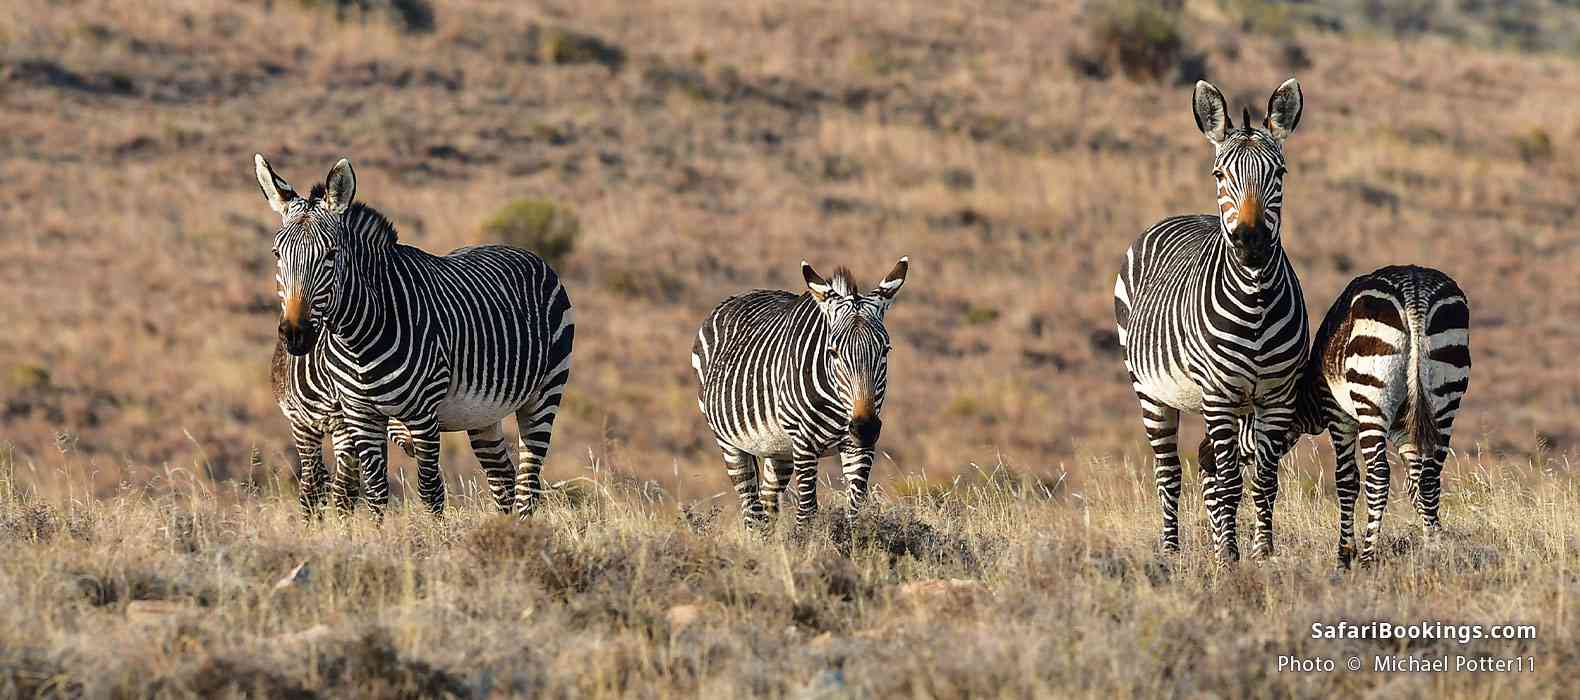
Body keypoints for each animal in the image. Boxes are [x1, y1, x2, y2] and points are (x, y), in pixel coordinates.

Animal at [271, 333, 415, 521]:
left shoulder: (346, 426)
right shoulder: (302, 425)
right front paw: (311, 528)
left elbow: (345, 488)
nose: (413, 444)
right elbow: (311, 487)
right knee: (318, 479)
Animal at [692, 258, 909, 529]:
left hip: (778, 448)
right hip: (729, 441)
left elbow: (854, 514)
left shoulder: (859, 447)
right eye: (833, 352)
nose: (865, 428)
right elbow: (807, 515)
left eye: (885, 350)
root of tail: (740, 295)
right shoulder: (805, 443)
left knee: (767, 502)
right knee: (751, 510)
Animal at [1113, 78, 1307, 561]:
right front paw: (1230, 558)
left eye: (1280, 174)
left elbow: (1264, 482)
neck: (1255, 302)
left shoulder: (1277, 396)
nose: (1251, 242)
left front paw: (1262, 553)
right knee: (1169, 472)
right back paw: (1171, 550)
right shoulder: (1218, 395)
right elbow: (1231, 481)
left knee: (1207, 463)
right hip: (1152, 392)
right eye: (1220, 175)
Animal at [1201, 265, 1471, 568]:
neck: (1305, 394)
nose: (1203, 458)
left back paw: (1367, 558)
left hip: (1371, 398)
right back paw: (1432, 553)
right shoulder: (1403, 430)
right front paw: (1433, 545)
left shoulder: (1337, 414)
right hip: (1444, 398)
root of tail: (1414, 290)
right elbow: (1416, 485)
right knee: (1431, 478)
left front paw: (1345, 554)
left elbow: (1347, 481)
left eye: (1211, 493)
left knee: (1379, 476)